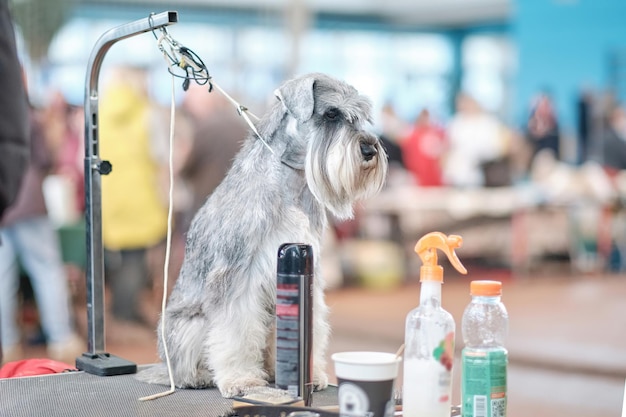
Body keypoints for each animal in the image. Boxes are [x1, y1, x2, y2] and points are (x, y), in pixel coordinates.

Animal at [139, 71, 388, 396]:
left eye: (362, 116)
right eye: (332, 113)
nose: (370, 150)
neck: (291, 183)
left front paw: (313, 372)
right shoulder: (238, 275)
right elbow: (235, 331)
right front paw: (241, 380)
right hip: (188, 325)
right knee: (183, 367)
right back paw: (200, 375)